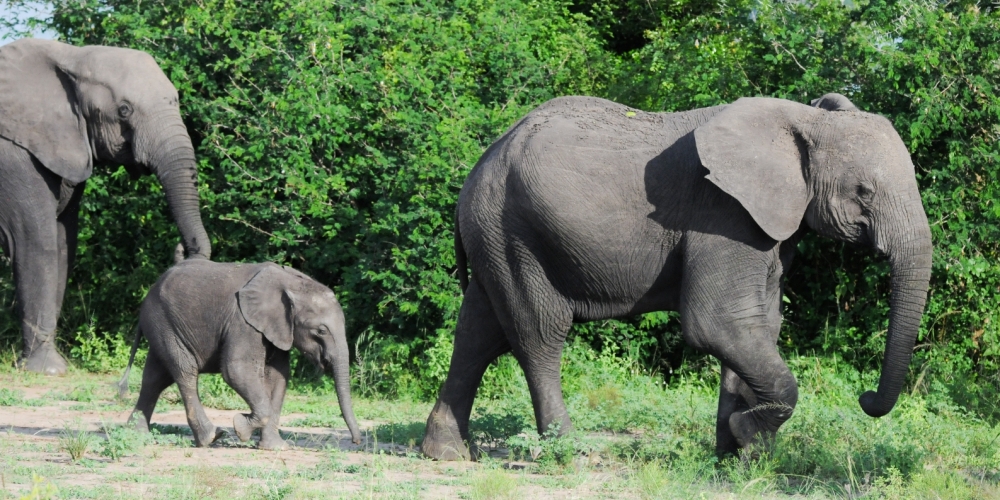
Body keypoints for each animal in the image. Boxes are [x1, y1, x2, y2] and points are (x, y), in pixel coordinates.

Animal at [0, 39, 211, 376]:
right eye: (124, 110)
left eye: (175, 100)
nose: (182, 249)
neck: (71, 55)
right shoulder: (11, 154)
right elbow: (34, 241)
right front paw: (48, 370)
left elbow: (63, 243)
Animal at [120, 258, 364, 450]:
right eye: (320, 331)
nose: (356, 441)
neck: (292, 282)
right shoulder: (242, 321)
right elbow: (237, 369)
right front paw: (240, 426)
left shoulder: (277, 327)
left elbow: (278, 377)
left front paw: (275, 448)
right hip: (164, 323)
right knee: (185, 372)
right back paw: (211, 437)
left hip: (162, 326)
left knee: (155, 378)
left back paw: (136, 433)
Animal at [424, 92, 936, 458]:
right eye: (864, 191)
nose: (866, 397)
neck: (802, 120)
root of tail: (481, 162)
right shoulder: (722, 214)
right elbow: (718, 324)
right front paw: (747, 437)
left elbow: (759, 325)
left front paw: (740, 455)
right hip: (516, 232)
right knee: (537, 334)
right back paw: (566, 453)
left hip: (495, 231)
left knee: (478, 331)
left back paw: (446, 454)